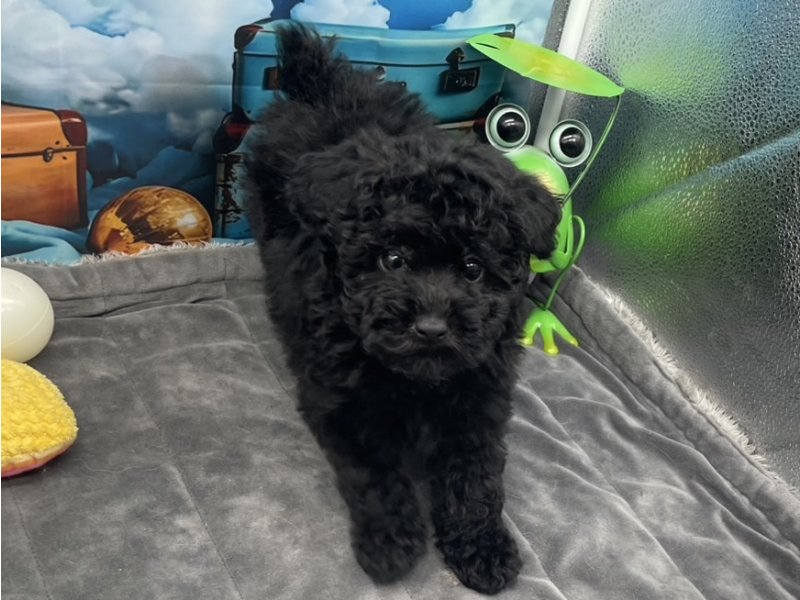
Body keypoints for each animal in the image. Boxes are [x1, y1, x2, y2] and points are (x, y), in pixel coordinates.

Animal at [245, 24, 561, 595]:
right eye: (392, 260)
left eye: (473, 269)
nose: (432, 328)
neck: (418, 378)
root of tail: (323, 84)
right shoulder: (346, 403)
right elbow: (377, 475)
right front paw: (391, 544)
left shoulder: (479, 399)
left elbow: (476, 477)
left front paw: (482, 547)